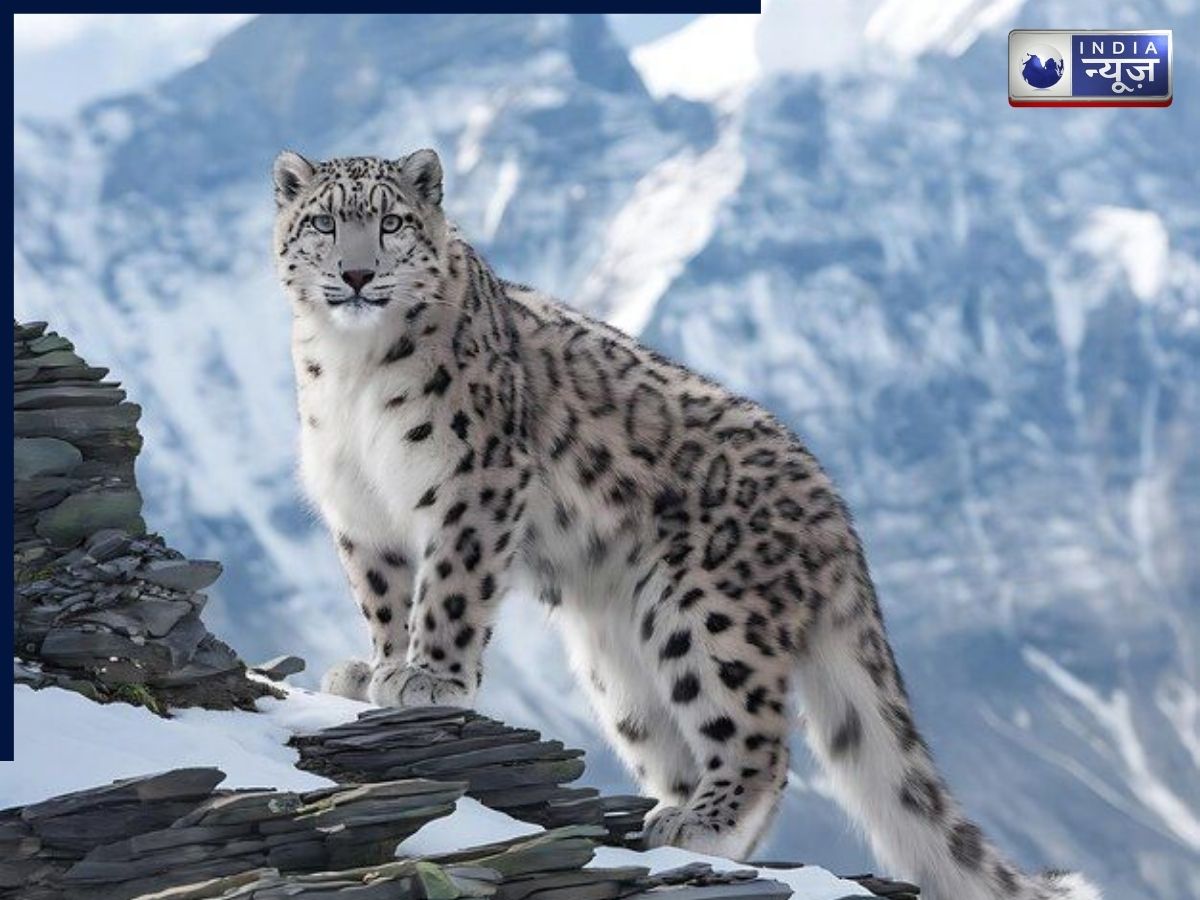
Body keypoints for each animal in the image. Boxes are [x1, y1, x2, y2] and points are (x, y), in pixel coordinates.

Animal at [272, 148, 1100, 900]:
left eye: (391, 223)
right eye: (323, 222)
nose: (355, 275)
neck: (350, 371)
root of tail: (835, 508)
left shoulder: (475, 480)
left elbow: (448, 587)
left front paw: (431, 678)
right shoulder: (361, 509)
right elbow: (384, 598)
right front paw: (373, 668)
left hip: (710, 614)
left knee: (758, 743)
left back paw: (704, 824)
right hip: (618, 664)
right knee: (673, 742)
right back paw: (668, 821)